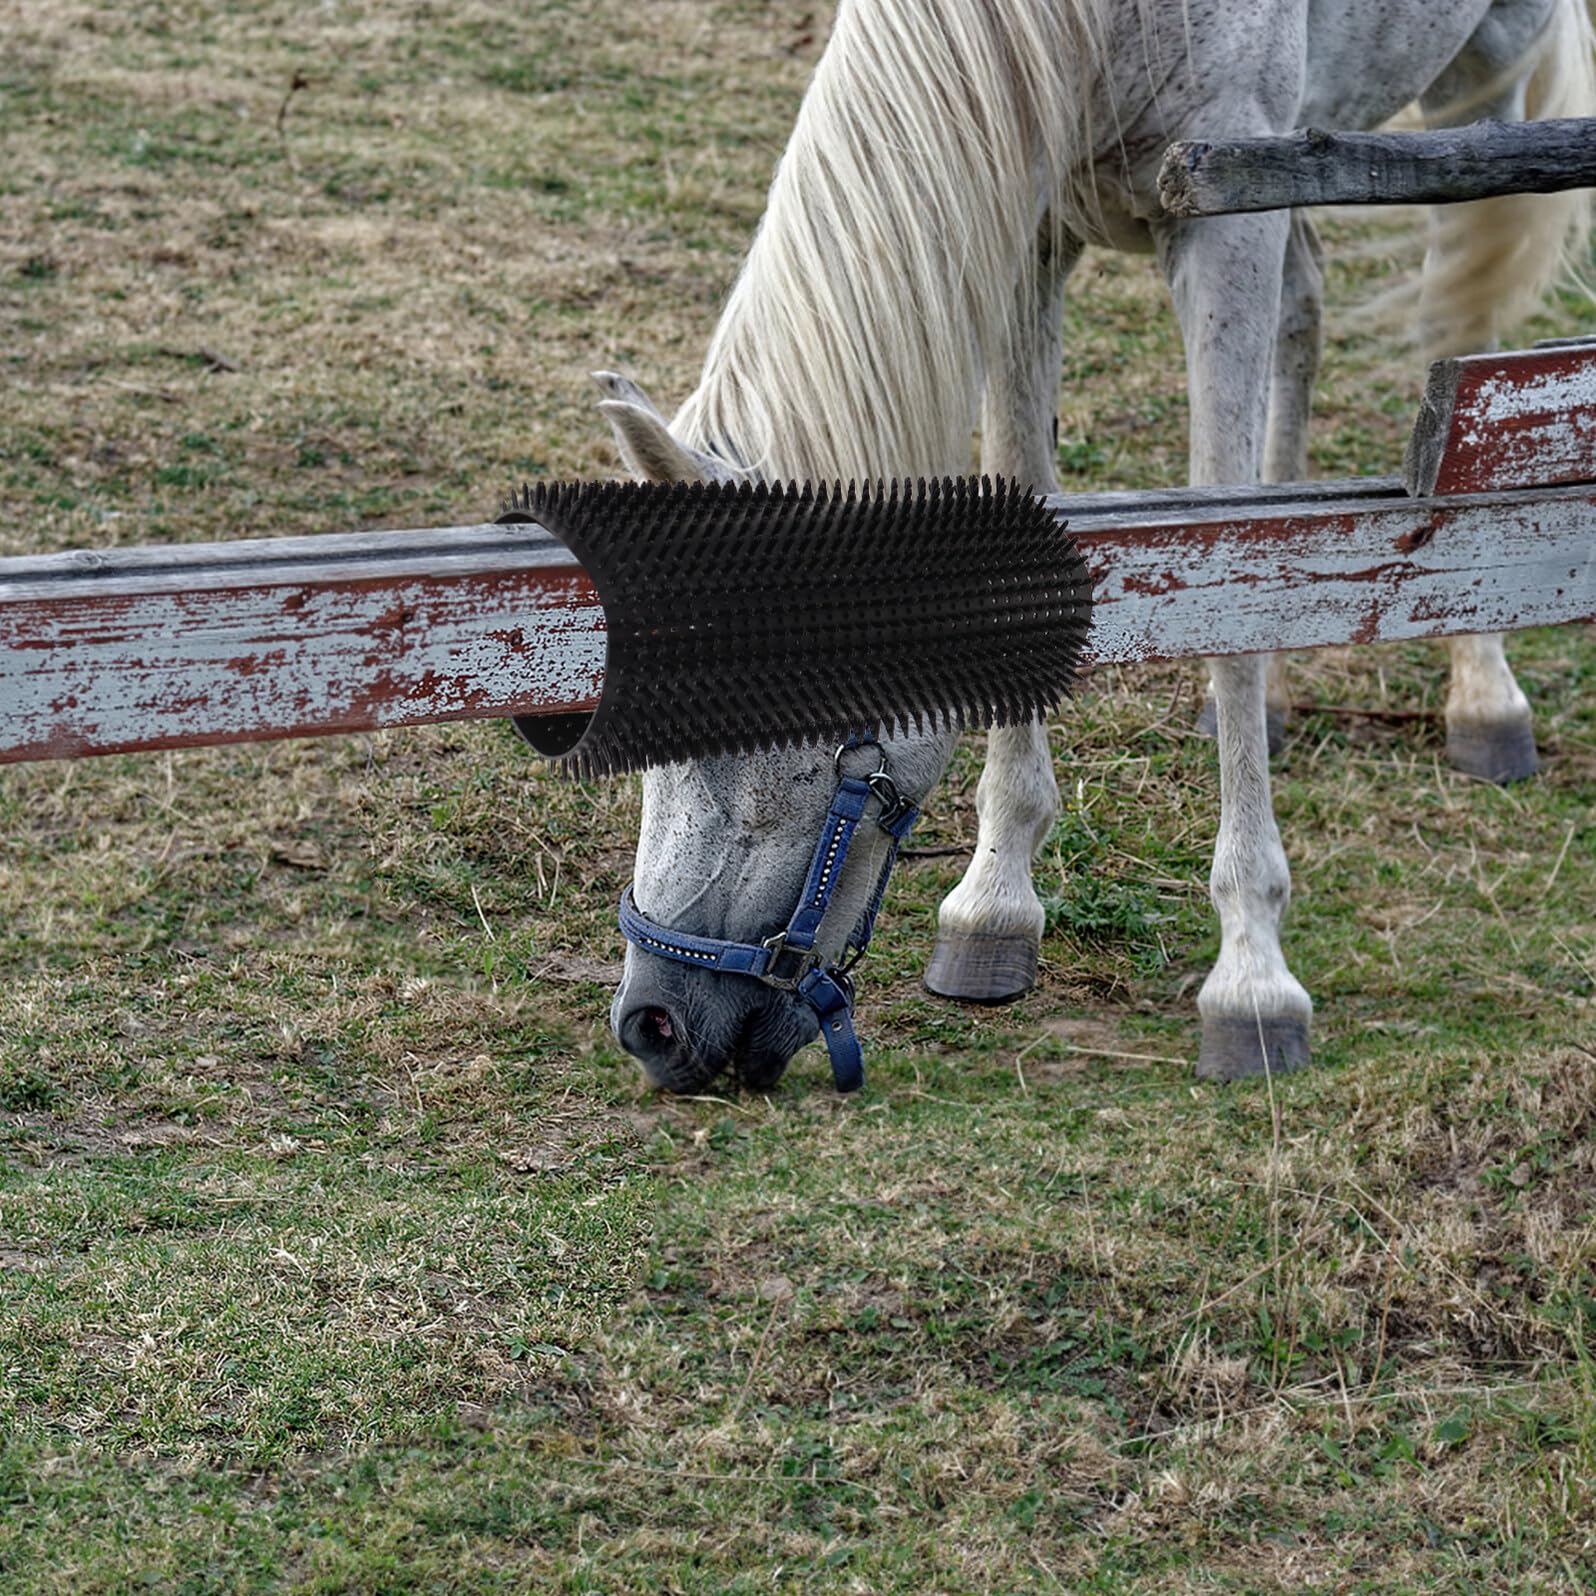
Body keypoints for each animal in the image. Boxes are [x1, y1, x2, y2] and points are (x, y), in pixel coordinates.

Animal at [586, 0, 1595, 1093]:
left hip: (1484, 84)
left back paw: (1484, 693)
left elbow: (1228, 535)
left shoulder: (1221, 226)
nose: (651, 1023)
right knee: (1310, 310)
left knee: (1466, 319)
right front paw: (994, 900)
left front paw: (1252, 973)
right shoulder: (1031, 227)